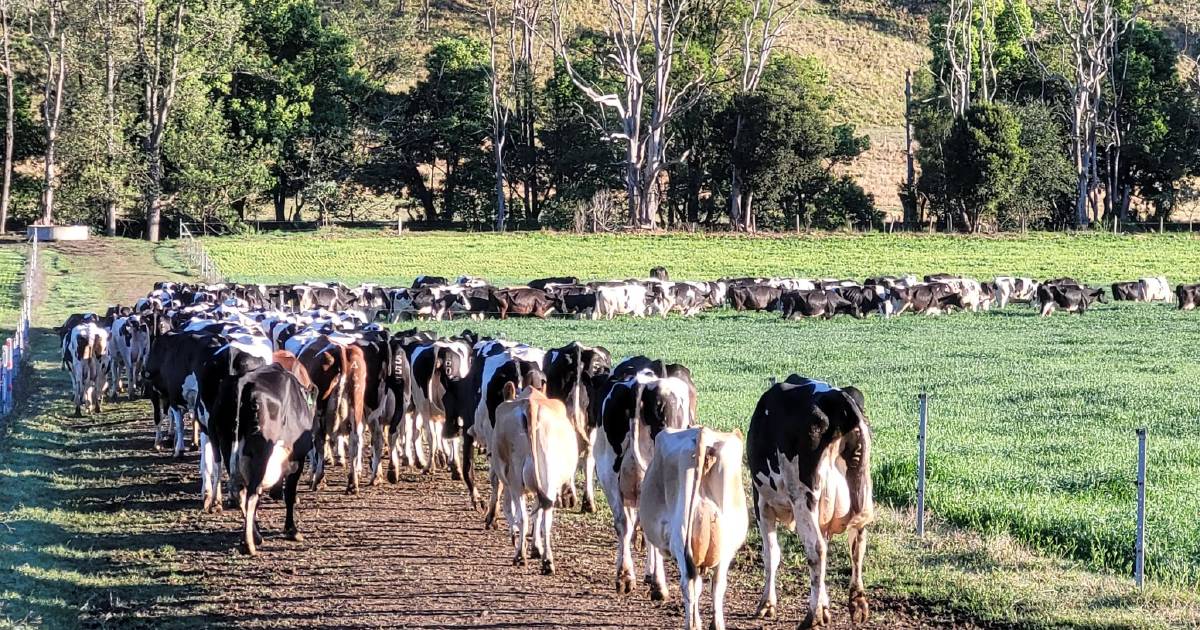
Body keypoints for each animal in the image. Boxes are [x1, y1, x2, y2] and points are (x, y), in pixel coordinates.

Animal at [489, 381, 578, 571]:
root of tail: (531, 405)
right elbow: (535, 515)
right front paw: (535, 547)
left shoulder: (508, 483)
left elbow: (512, 510)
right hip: (546, 479)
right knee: (545, 517)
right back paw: (547, 561)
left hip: (516, 480)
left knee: (525, 515)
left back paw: (521, 555)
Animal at [643, 422, 744, 628]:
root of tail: (703, 433)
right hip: (726, 542)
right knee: (717, 584)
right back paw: (716, 625)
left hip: (681, 537)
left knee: (689, 584)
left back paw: (692, 625)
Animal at [748, 376, 873, 624]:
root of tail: (836, 397)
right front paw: (825, 606)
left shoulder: (762, 500)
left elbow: (771, 553)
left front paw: (767, 604)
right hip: (859, 490)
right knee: (857, 545)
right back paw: (857, 604)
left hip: (802, 497)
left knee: (816, 549)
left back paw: (812, 616)